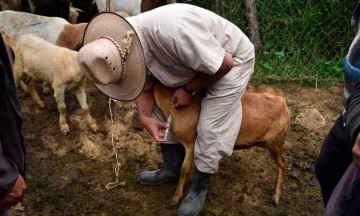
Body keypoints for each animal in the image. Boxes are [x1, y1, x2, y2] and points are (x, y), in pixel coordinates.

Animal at [154, 81, 290, 206]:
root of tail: (283, 104)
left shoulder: (191, 142)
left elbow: (184, 168)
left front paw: (176, 197)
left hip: (274, 142)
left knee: (283, 163)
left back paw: (276, 197)